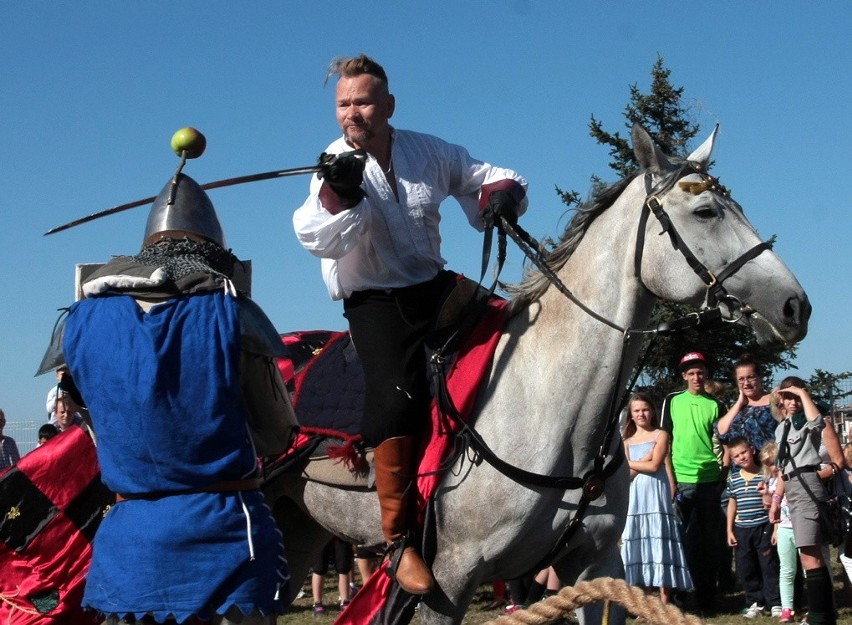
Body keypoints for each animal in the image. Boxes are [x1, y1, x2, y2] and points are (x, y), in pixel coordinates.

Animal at [268, 123, 812, 624]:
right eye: (705, 212)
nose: (795, 307)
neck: (547, 402)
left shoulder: (593, 568)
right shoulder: (449, 579)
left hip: (296, 531)